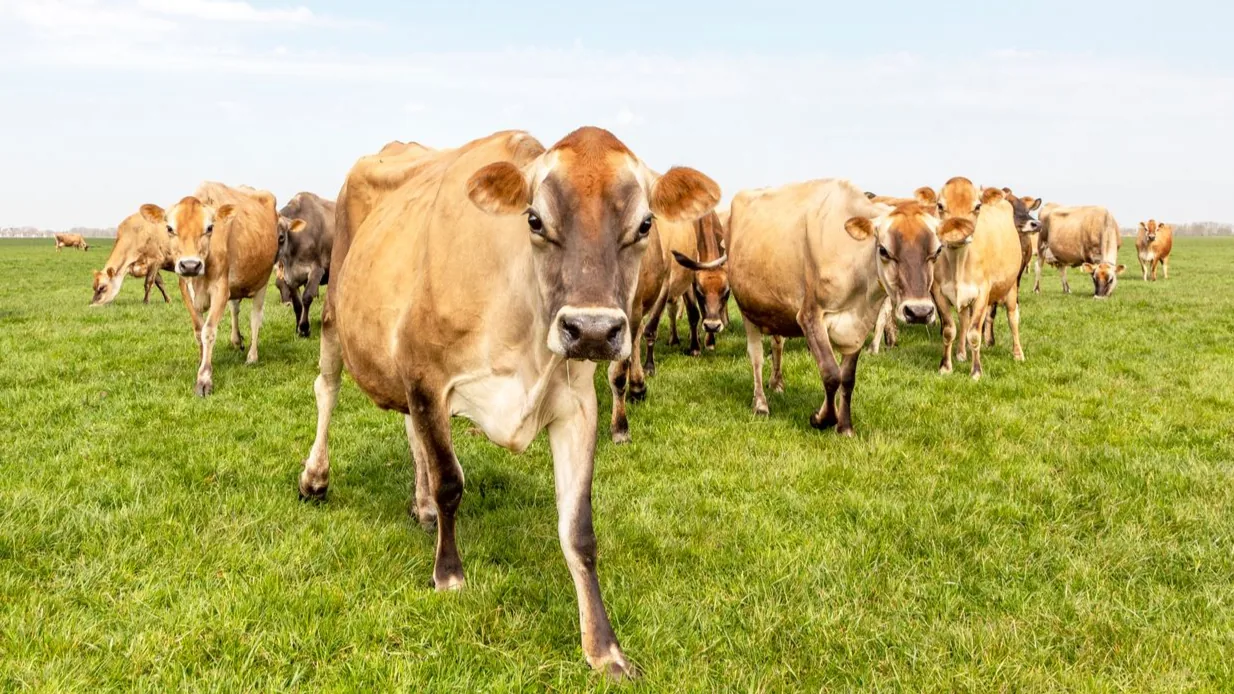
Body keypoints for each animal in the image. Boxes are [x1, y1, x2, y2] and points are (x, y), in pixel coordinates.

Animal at [138, 182, 278, 396]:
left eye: (210, 227)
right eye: (169, 228)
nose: (190, 265)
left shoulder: (220, 289)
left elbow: (208, 331)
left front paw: (204, 379)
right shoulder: (186, 289)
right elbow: (198, 330)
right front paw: (201, 360)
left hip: (262, 280)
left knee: (255, 319)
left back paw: (252, 356)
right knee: (235, 309)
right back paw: (236, 340)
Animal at [275, 192, 336, 337]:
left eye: (281, 237)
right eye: (277, 286)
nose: (286, 304)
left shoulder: (317, 270)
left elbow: (307, 297)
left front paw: (304, 328)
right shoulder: (290, 276)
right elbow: (297, 304)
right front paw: (297, 328)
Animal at [296, 128, 719, 678]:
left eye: (645, 223)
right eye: (534, 219)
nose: (592, 330)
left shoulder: (577, 407)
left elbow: (578, 531)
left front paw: (603, 647)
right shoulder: (427, 375)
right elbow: (451, 482)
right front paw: (448, 573)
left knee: (410, 430)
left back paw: (421, 506)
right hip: (333, 312)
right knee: (327, 390)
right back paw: (315, 478)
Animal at [728, 180, 941, 434]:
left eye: (937, 251)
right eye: (883, 250)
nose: (919, 312)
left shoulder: (859, 325)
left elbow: (847, 378)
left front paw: (845, 426)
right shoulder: (810, 316)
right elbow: (831, 374)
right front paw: (822, 419)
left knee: (777, 344)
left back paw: (777, 384)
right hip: (747, 309)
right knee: (757, 357)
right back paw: (760, 403)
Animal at [932, 180, 1028, 380]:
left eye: (977, 206)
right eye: (940, 205)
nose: (956, 234)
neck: (959, 262)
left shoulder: (982, 294)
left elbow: (975, 333)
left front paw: (976, 371)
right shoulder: (939, 292)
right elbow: (949, 330)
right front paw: (945, 367)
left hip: (1011, 287)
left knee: (1013, 318)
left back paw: (1018, 353)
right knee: (963, 321)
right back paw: (961, 352)